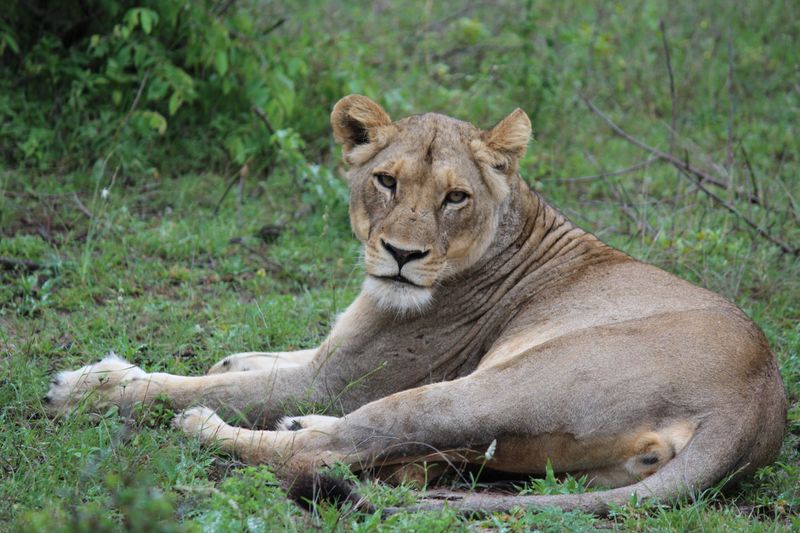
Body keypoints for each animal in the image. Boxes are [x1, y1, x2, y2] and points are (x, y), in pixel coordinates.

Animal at [45, 95, 786, 515]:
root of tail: (758, 404)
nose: (401, 254)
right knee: (394, 457)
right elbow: (262, 358)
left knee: (327, 451)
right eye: (386, 180)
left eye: (455, 196)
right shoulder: (332, 356)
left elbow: (194, 387)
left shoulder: (342, 379)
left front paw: (91, 386)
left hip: (489, 387)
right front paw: (229, 359)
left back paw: (211, 429)